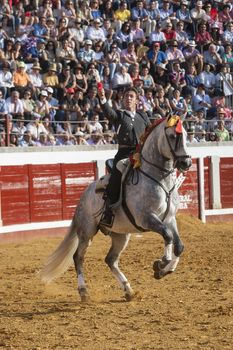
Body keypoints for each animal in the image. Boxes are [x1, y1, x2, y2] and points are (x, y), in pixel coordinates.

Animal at [39, 116, 191, 302]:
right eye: (172, 135)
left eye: (185, 134)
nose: (186, 162)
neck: (159, 179)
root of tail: (83, 196)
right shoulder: (146, 218)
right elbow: (168, 235)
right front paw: (161, 263)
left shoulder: (169, 219)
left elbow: (179, 246)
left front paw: (163, 271)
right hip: (87, 232)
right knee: (78, 257)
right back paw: (83, 291)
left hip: (120, 235)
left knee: (110, 260)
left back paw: (128, 290)